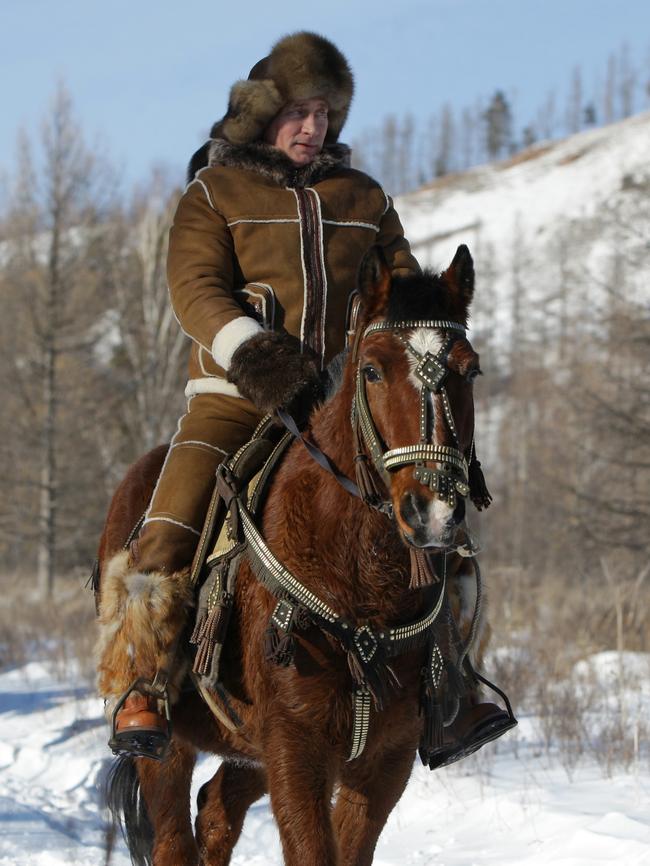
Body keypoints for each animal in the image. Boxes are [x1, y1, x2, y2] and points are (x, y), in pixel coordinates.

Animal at [98, 245, 492, 864]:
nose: (431, 510)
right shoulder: (294, 749)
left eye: (469, 370)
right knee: (173, 836)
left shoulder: (384, 759)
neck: (358, 579)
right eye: (372, 369)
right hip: (167, 746)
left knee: (217, 809)